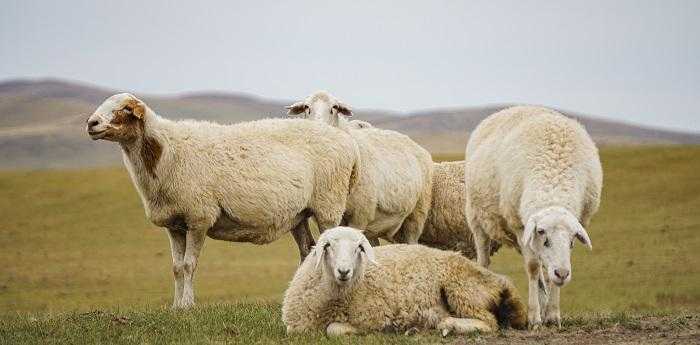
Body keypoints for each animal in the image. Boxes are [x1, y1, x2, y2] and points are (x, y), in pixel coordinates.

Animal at [86, 92, 360, 308]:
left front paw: (188, 306)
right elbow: (176, 268)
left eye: (125, 109)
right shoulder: (174, 224)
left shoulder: (199, 217)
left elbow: (189, 265)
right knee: (307, 252)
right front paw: (176, 307)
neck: (165, 152)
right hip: (298, 215)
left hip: (328, 206)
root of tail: (346, 142)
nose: (91, 123)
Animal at [282, 226, 528, 336]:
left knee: (489, 323)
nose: (344, 271)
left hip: (461, 289)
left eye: (359, 248)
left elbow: (334, 328)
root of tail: (501, 281)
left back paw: (446, 325)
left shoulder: (373, 317)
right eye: (328, 246)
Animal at [464, 105, 600, 328]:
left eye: (573, 238)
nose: (563, 274)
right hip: (477, 219)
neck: (553, 185)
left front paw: (552, 315)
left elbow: (549, 270)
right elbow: (533, 267)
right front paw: (534, 318)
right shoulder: (521, 226)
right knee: (483, 258)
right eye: (542, 231)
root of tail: (511, 107)